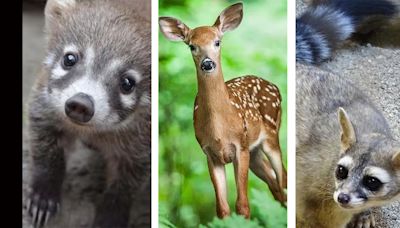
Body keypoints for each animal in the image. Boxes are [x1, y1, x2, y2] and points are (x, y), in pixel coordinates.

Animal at [23, 0, 152, 227]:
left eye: (128, 83)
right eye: (69, 58)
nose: (81, 103)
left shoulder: (143, 143)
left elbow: (126, 185)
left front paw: (110, 216)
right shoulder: (43, 101)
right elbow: (45, 149)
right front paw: (43, 196)